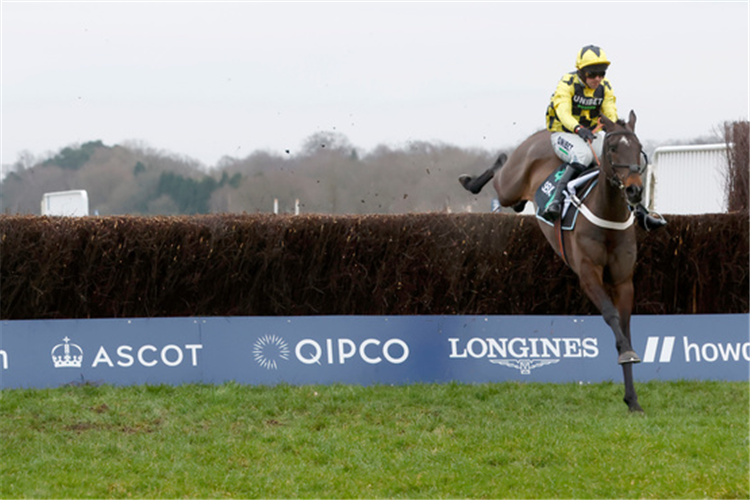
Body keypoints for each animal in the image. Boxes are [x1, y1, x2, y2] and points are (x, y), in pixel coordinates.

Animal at [464, 111, 648, 412]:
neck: (607, 215)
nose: (634, 191)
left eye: (638, 147)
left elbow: (624, 327)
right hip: (510, 186)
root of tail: (541, 135)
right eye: (612, 148)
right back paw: (471, 180)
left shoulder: (624, 281)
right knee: (501, 171)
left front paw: (632, 398)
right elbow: (610, 315)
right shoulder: (588, 274)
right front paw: (625, 356)